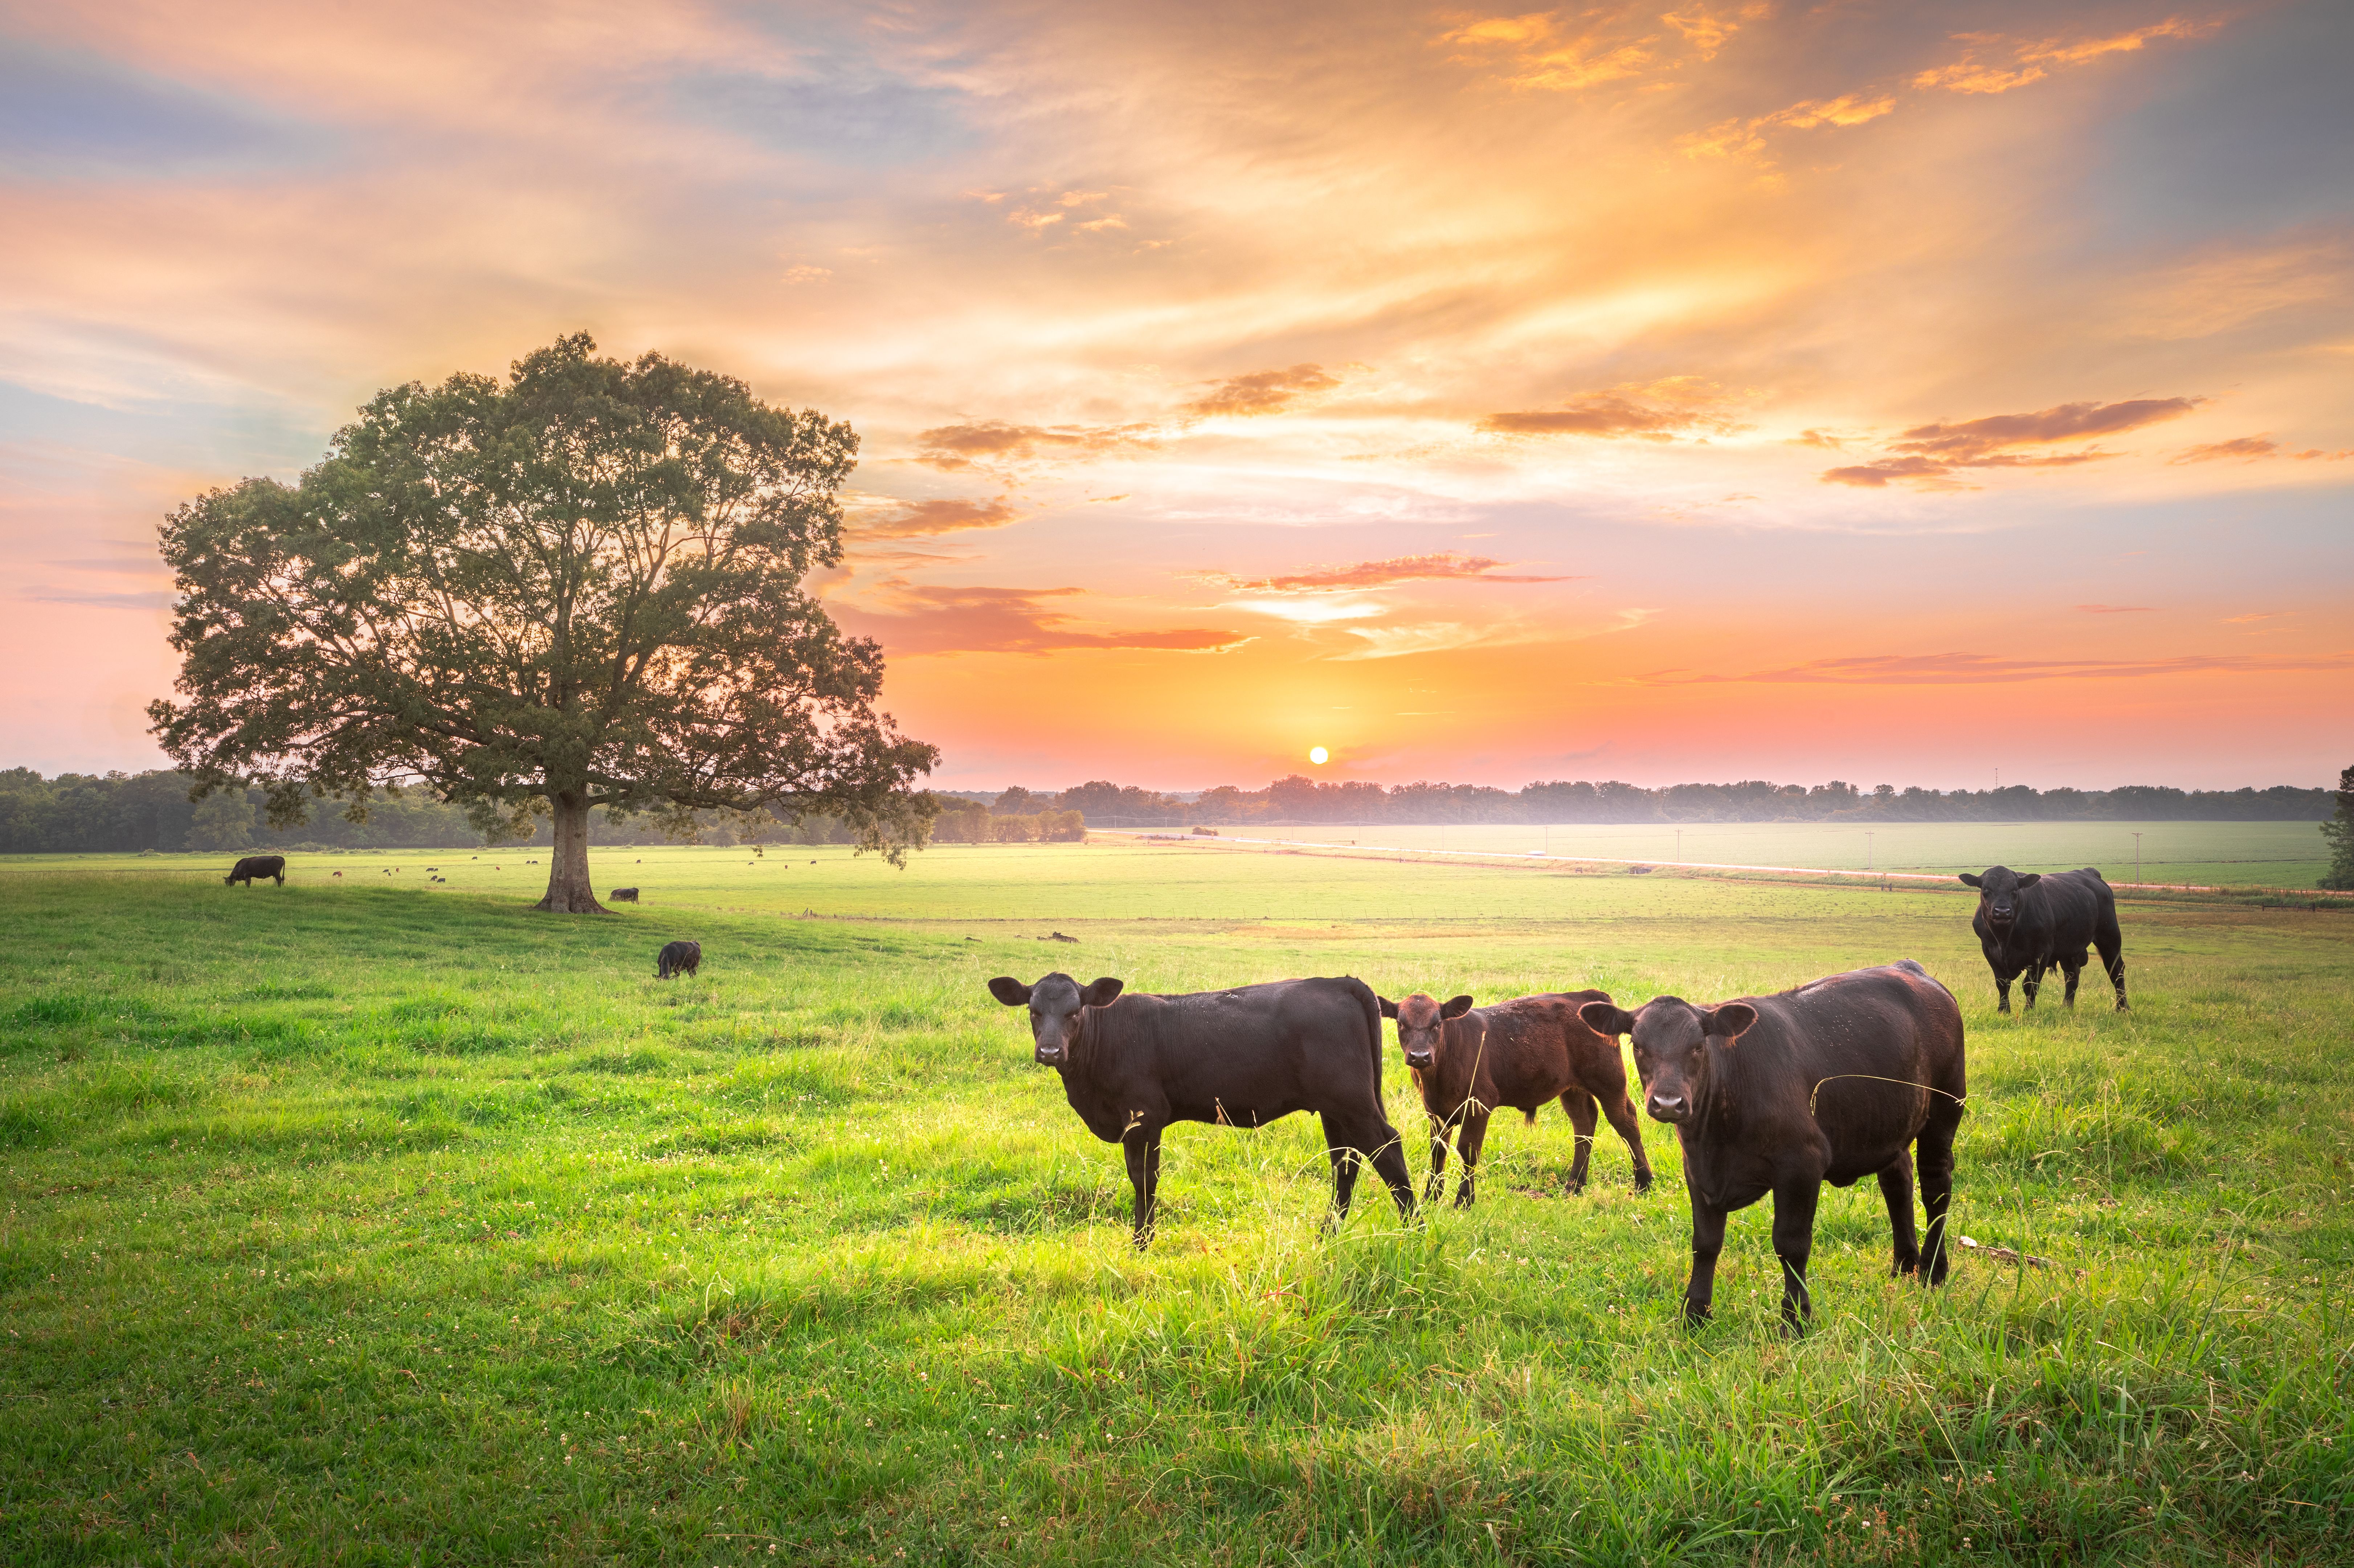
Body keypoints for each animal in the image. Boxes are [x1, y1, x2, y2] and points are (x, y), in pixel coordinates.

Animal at [224, 855, 286, 887]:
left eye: (227, 882)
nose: (228, 887)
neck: (240, 867)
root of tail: (281, 858)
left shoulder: (247, 876)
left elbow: (247, 884)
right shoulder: (249, 877)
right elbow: (249, 884)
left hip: (277, 874)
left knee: (279, 880)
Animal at [986, 972, 1416, 1249]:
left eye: (1074, 1012)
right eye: (1033, 1011)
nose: (1050, 1052)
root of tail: (1340, 982)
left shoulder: (1143, 1118)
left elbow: (1144, 1180)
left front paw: (1142, 1245)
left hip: (1352, 1102)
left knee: (1388, 1149)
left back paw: (1415, 1230)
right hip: (1334, 1109)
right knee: (1345, 1164)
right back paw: (1326, 1237)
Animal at [1379, 990, 1652, 1205]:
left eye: (1437, 1024)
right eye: (1401, 1023)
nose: (1420, 1056)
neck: (1437, 1079)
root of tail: (1587, 995)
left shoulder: (1480, 1104)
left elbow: (1468, 1150)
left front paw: (1464, 1201)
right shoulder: (1434, 1111)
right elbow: (1438, 1152)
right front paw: (1431, 1198)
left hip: (1610, 1081)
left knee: (1626, 1122)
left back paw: (1644, 1182)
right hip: (1572, 1089)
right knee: (1584, 1124)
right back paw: (1575, 1185)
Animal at [1580, 960, 1966, 1333]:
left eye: (1698, 1047)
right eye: (1638, 1046)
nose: (1669, 1103)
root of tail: (1910, 969)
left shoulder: (1802, 1164)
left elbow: (1791, 1245)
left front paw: (1796, 1320)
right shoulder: (1697, 1172)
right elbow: (1705, 1243)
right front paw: (1695, 1315)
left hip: (1945, 1109)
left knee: (1935, 1188)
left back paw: (1934, 1271)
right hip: (1889, 1124)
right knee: (1898, 1183)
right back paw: (1904, 1266)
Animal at [1960, 866, 2127, 1013]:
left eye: (2015, 890)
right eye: (1985, 889)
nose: (2002, 911)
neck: (2005, 939)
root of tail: (2089, 872)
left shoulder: (2042, 953)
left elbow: (2030, 985)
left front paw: (2028, 1011)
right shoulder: (1989, 951)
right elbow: (2002, 984)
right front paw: (2003, 1011)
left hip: (2110, 937)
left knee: (2116, 971)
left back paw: (2123, 1008)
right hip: (2069, 950)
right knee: (2072, 976)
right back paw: (2066, 1008)